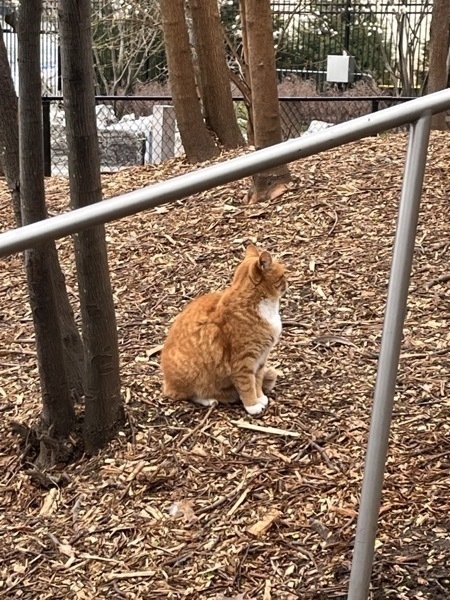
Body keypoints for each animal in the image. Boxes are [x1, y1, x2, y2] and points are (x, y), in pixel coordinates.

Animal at [162, 246, 286, 414]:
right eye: (283, 275)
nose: (288, 282)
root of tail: (166, 381)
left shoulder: (261, 359)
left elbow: (257, 380)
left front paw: (260, 397)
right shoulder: (243, 361)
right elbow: (247, 385)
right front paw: (252, 405)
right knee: (184, 393)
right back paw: (208, 399)